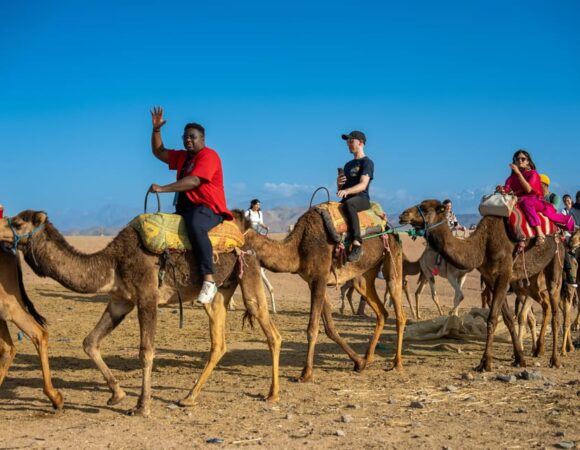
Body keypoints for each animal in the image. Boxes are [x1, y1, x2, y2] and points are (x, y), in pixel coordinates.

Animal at [244, 206, 404, 382]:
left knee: (399, 312)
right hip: (365, 274)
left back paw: (397, 364)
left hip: (393, 259)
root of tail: (390, 228)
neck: (299, 246)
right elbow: (330, 328)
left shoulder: (319, 278)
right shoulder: (314, 281)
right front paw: (359, 362)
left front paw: (306, 373)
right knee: (380, 310)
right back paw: (368, 357)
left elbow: (312, 328)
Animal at [402, 200, 564, 372]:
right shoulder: (490, 279)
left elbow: (492, 319)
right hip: (532, 279)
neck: (483, 245)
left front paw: (485, 362)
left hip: (555, 262)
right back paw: (540, 350)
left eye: (425, 209)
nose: (403, 215)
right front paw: (519, 358)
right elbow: (507, 318)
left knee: (555, 310)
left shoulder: (503, 275)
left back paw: (555, 359)